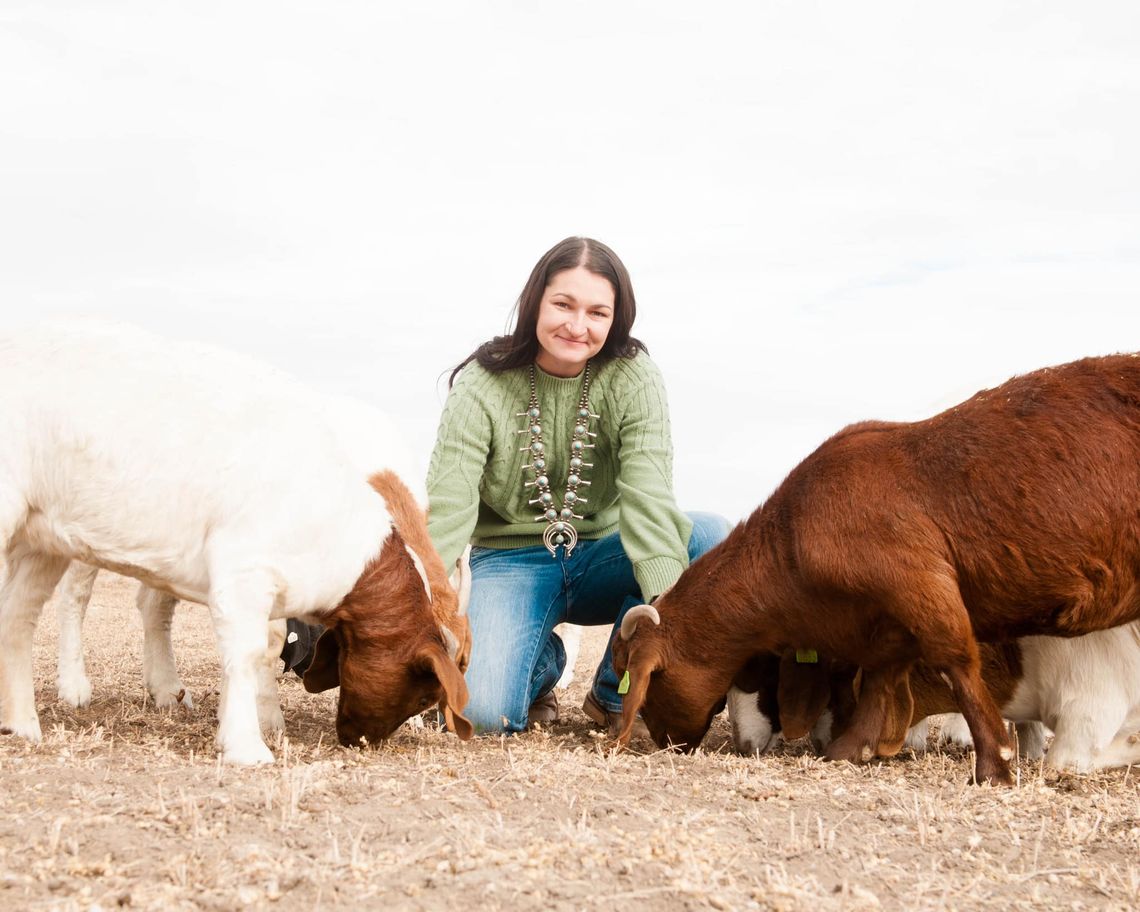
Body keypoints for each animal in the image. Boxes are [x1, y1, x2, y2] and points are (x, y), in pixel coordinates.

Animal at [615, 355, 1140, 784]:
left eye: (643, 680)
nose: (665, 742)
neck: (793, 537)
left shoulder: (921, 587)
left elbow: (958, 663)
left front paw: (995, 765)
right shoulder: (887, 625)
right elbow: (881, 679)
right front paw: (849, 749)